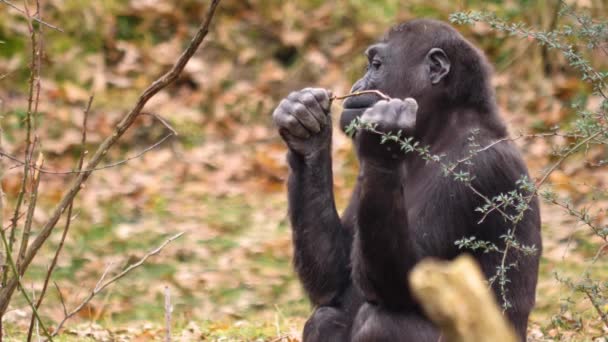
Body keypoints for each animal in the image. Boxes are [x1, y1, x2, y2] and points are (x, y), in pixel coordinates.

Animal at [270, 19, 540, 342]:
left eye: (376, 65)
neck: (436, 129)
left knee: (384, 321)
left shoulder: (479, 167)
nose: (356, 87)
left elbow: (407, 281)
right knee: (326, 318)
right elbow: (335, 281)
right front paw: (305, 128)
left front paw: (382, 136)